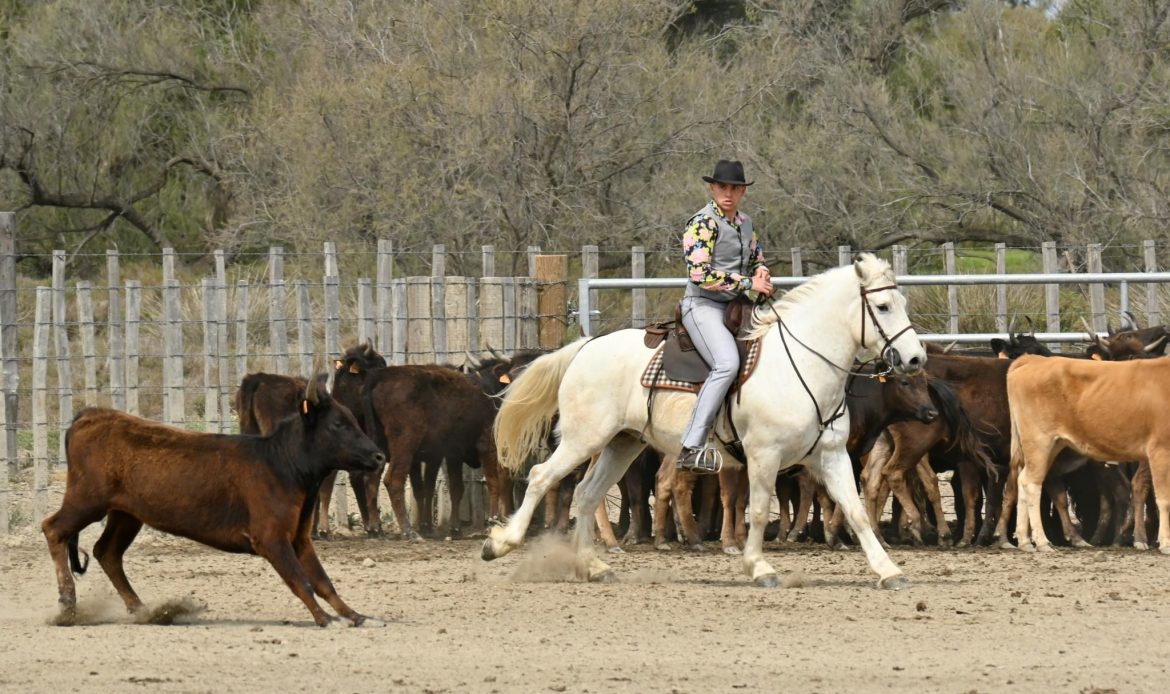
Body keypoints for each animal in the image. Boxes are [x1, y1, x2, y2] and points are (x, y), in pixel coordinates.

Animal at [42, 378, 386, 627]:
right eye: (338, 424)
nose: (379, 456)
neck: (280, 463)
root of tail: (89, 416)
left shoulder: (299, 539)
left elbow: (323, 581)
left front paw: (357, 616)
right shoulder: (271, 540)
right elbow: (301, 580)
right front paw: (326, 619)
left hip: (126, 514)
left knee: (107, 552)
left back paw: (143, 610)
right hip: (86, 500)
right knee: (53, 528)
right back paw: (67, 602)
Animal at [482, 253, 927, 589]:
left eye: (903, 304)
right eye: (883, 307)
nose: (915, 358)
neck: (799, 364)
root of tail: (585, 346)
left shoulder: (831, 456)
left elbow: (855, 511)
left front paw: (889, 571)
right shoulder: (764, 456)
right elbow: (759, 511)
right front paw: (759, 568)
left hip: (622, 443)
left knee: (587, 494)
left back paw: (593, 566)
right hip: (583, 439)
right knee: (541, 476)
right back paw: (500, 544)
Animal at [1007, 354, 1170, 553]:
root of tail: (1035, 360)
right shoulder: (1160, 449)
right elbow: (1164, 498)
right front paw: (1166, 543)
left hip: (1052, 445)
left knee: (1022, 479)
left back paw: (1025, 541)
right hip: (1039, 441)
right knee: (1031, 483)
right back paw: (1042, 542)